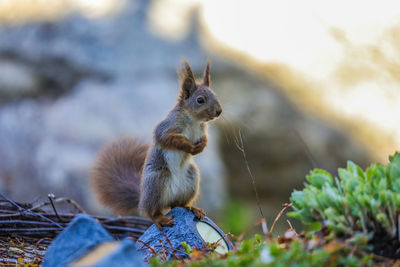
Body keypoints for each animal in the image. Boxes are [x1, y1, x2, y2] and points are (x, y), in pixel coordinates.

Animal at [90, 60, 222, 230]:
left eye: (215, 95)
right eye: (200, 100)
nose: (219, 111)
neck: (194, 121)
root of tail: (142, 199)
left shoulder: (202, 131)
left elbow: (205, 139)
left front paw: (201, 146)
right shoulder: (166, 128)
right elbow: (168, 139)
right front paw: (188, 146)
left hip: (191, 178)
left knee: (178, 204)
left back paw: (192, 208)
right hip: (157, 180)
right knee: (151, 212)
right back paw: (160, 219)